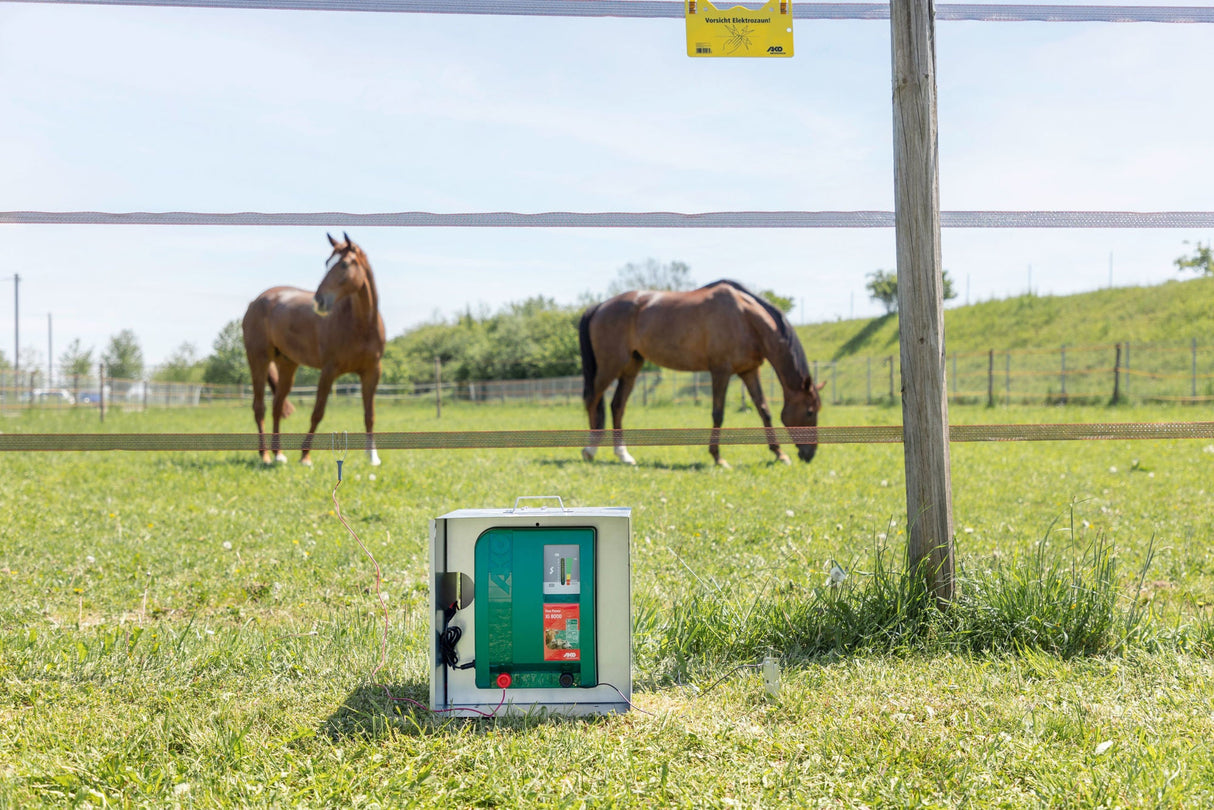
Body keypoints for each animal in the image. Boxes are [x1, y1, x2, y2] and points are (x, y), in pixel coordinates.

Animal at [241, 230, 383, 466]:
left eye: (344, 264)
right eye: (327, 262)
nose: (320, 300)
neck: (361, 324)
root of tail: (256, 301)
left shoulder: (372, 372)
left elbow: (369, 414)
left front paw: (373, 457)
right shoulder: (329, 370)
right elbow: (318, 412)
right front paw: (305, 456)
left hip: (287, 365)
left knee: (277, 406)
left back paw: (279, 454)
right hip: (258, 359)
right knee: (259, 407)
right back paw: (266, 455)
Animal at [577, 280, 825, 466]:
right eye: (810, 412)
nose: (810, 453)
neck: (745, 318)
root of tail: (600, 306)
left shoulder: (749, 371)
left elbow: (764, 410)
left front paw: (779, 454)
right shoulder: (720, 371)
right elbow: (718, 413)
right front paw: (717, 457)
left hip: (631, 367)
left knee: (617, 406)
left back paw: (624, 455)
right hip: (609, 366)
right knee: (592, 400)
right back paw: (590, 450)